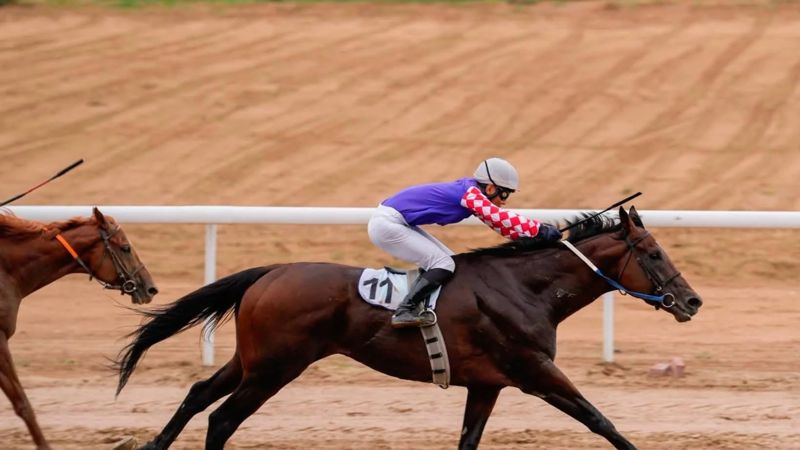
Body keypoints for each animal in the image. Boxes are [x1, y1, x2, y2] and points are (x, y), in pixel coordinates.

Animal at [116, 206, 702, 450]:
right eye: (653, 253)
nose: (693, 300)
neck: (526, 289)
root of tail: (270, 272)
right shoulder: (535, 371)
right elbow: (600, 420)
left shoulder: (487, 383)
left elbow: (469, 440)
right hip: (275, 368)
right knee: (221, 420)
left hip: (253, 359)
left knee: (199, 394)